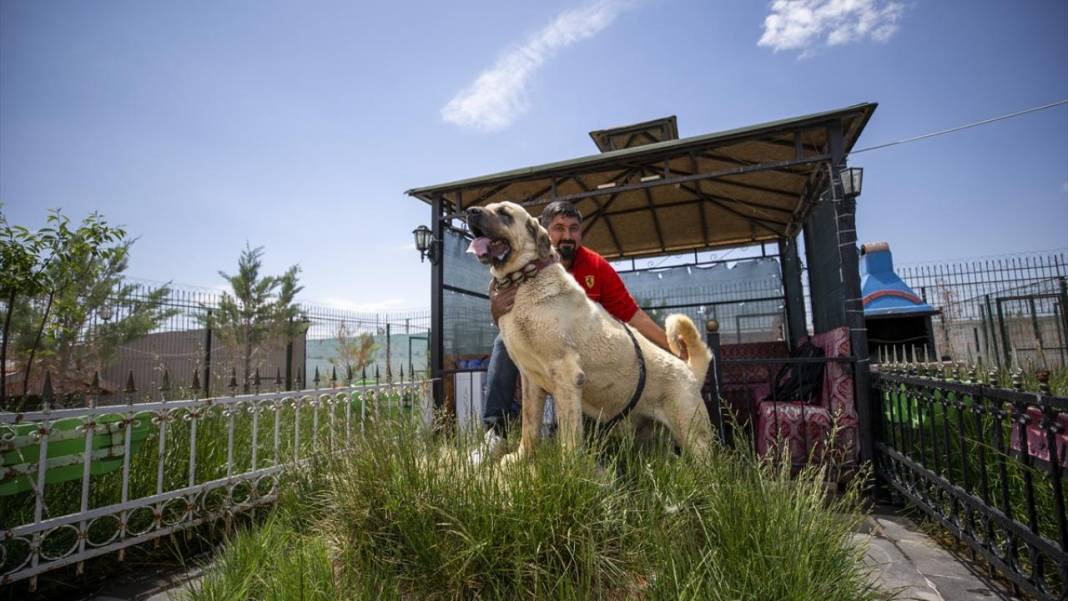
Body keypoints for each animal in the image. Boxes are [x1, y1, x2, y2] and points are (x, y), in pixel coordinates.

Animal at [463, 201, 713, 465]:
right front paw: (521, 458)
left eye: (504, 213)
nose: (470, 211)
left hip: (691, 430)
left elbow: (569, 434)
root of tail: (689, 369)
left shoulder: (567, 375)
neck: (526, 278)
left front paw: (568, 467)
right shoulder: (531, 382)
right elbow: (529, 427)